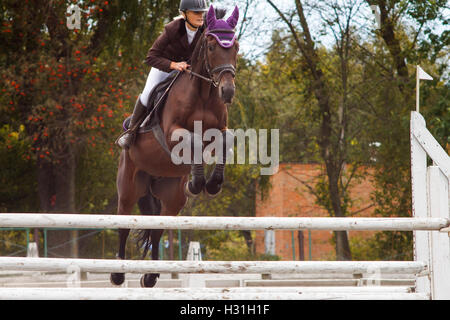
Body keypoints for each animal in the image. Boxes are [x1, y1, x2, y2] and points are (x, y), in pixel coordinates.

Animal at [109, 4, 239, 288]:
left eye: (235, 46)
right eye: (210, 46)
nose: (227, 92)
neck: (204, 93)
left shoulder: (219, 131)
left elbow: (227, 139)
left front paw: (211, 184)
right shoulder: (171, 134)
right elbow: (192, 140)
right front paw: (197, 182)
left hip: (170, 196)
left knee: (158, 230)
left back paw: (150, 276)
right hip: (129, 186)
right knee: (124, 223)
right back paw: (117, 273)